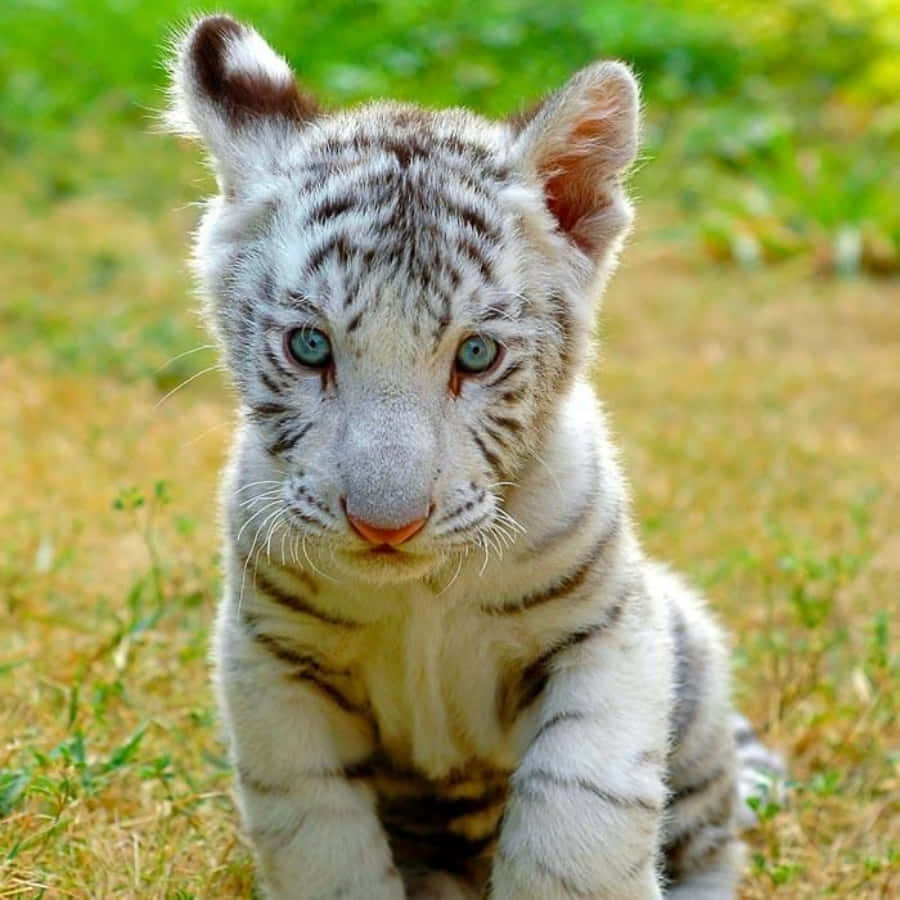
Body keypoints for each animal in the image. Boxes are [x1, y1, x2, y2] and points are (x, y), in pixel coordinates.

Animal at [166, 15, 782, 899]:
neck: (418, 589)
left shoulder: (606, 629)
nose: (385, 527)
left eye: (478, 355)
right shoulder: (271, 655)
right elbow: (317, 831)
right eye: (310, 346)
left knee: (713, 838)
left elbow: (580, 813)